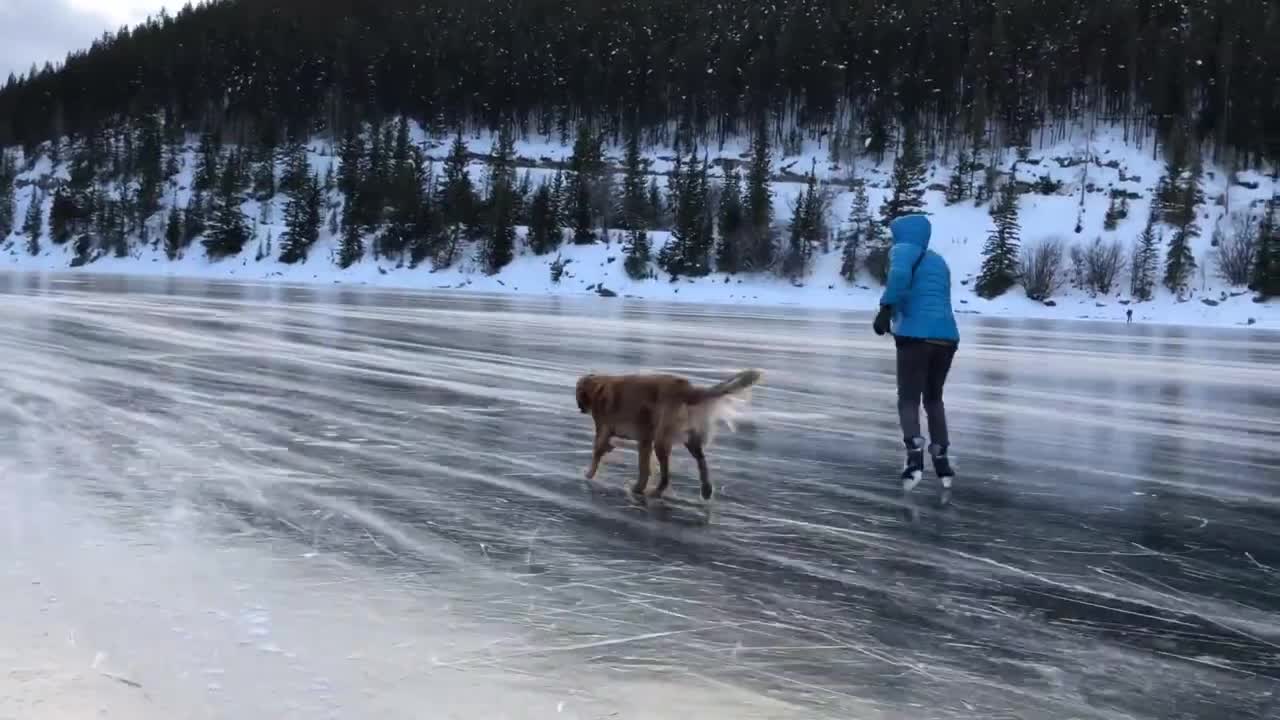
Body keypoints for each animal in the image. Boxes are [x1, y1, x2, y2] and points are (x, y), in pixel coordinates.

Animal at [578, 366, 762, 497]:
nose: (580, 408)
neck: (598, 387)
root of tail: (688, 390)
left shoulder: (604, 428)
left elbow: (598, 452)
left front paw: (588, 474)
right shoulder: (644, 439)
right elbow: (643, 468)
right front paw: (639, 486)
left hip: (661, 440)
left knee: (666, 475)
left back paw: (655, 492)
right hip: (689, 439)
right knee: (701, 462)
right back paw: (706, 490)